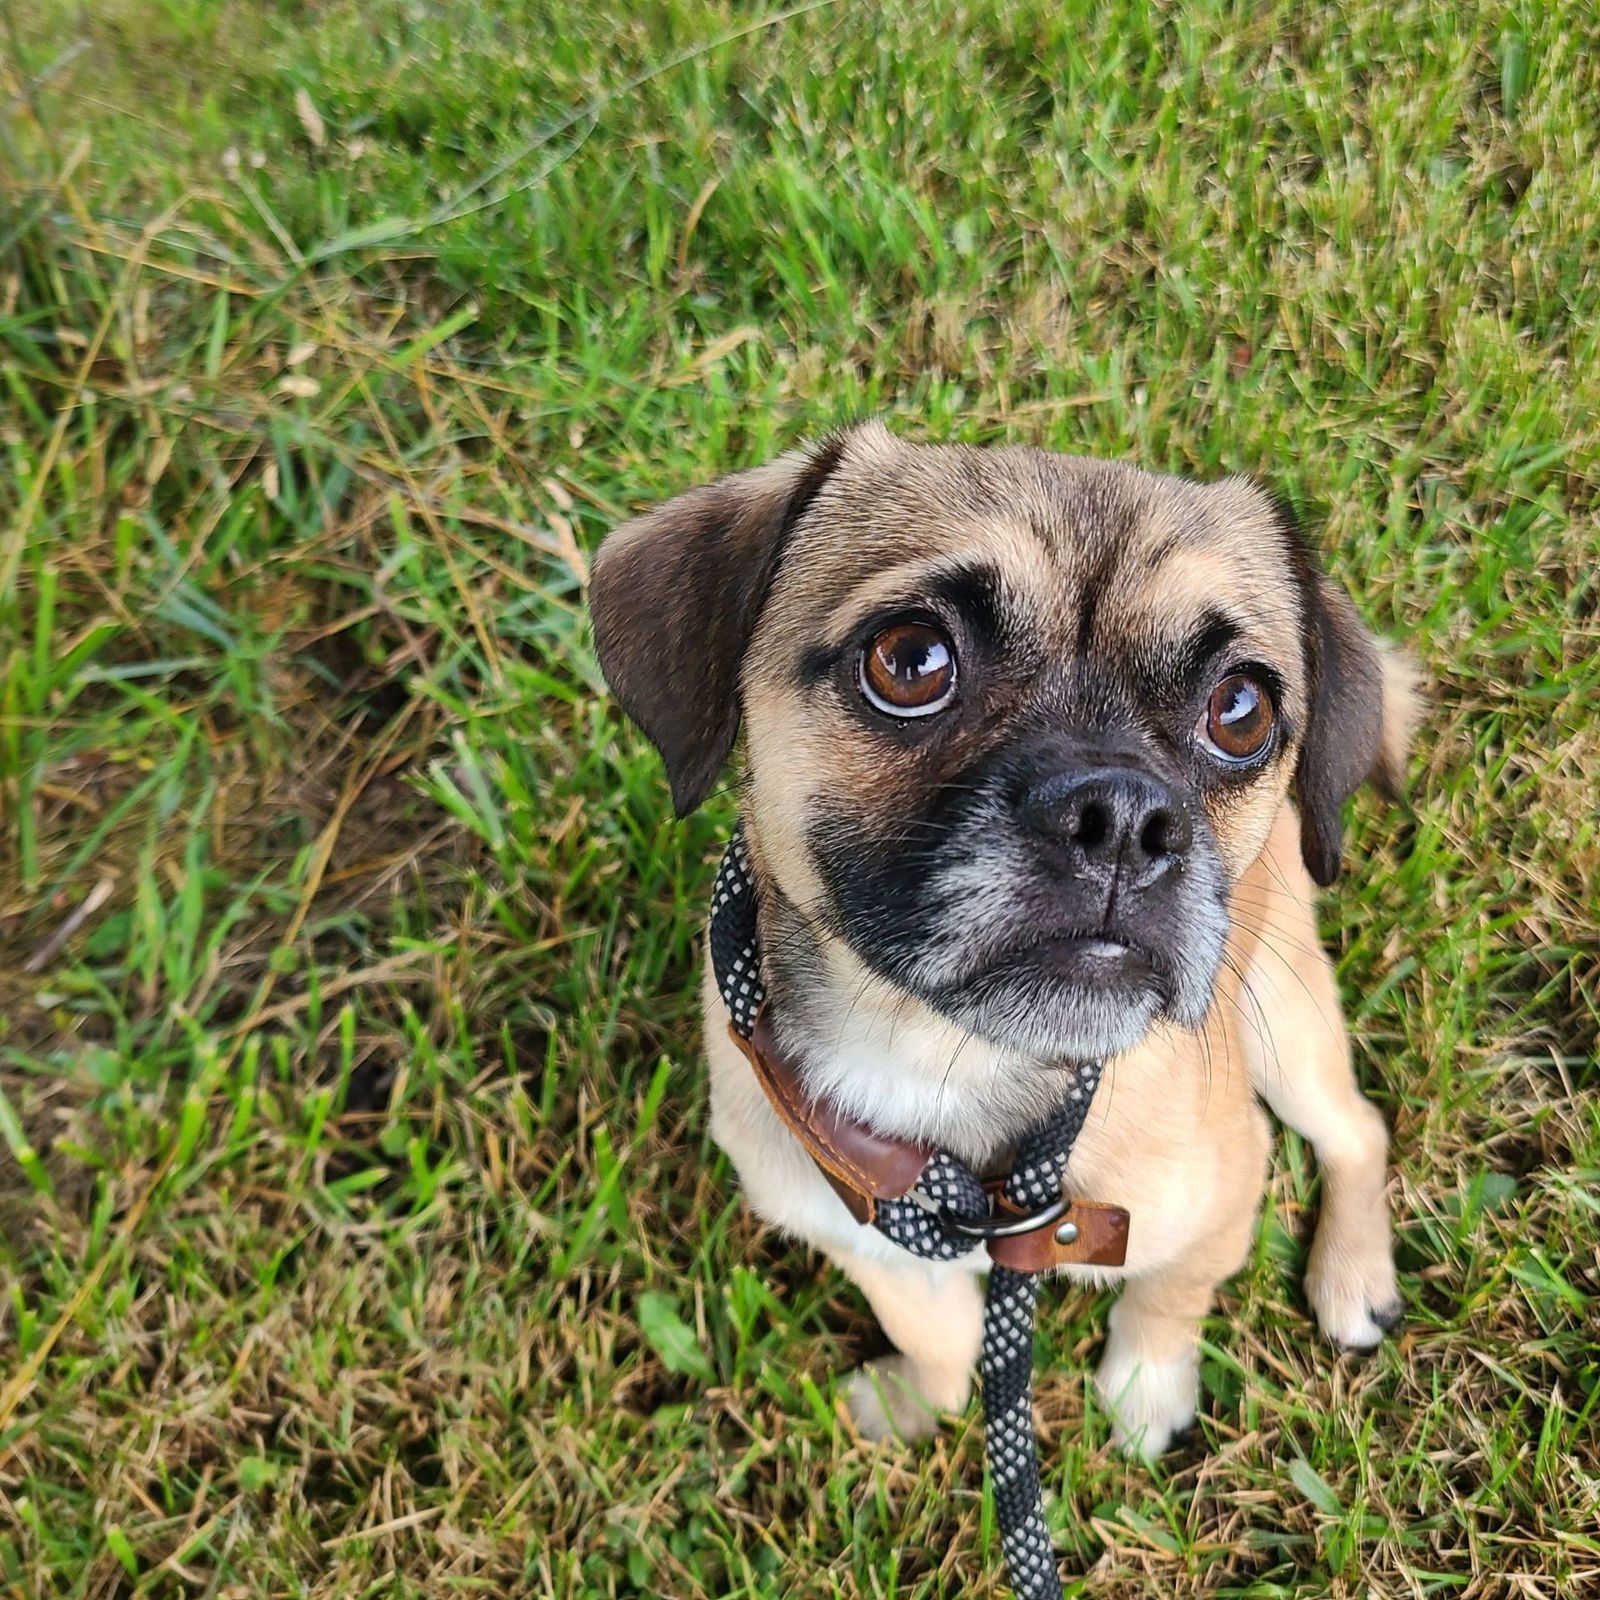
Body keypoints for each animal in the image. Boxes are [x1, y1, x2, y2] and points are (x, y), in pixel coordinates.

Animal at [595, 419, 1420, 1459]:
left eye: (1242, 710)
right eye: (910, 659)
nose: (1122, 817)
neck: (945, 1061)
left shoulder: (1221, 1208)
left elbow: (1167, 1301)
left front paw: (1143, 1392)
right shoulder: (867, 1242)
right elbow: (936, 1333)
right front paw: (921, 1399)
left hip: (1286, 1026)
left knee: (1356, 1129)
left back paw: (1353, 1275)